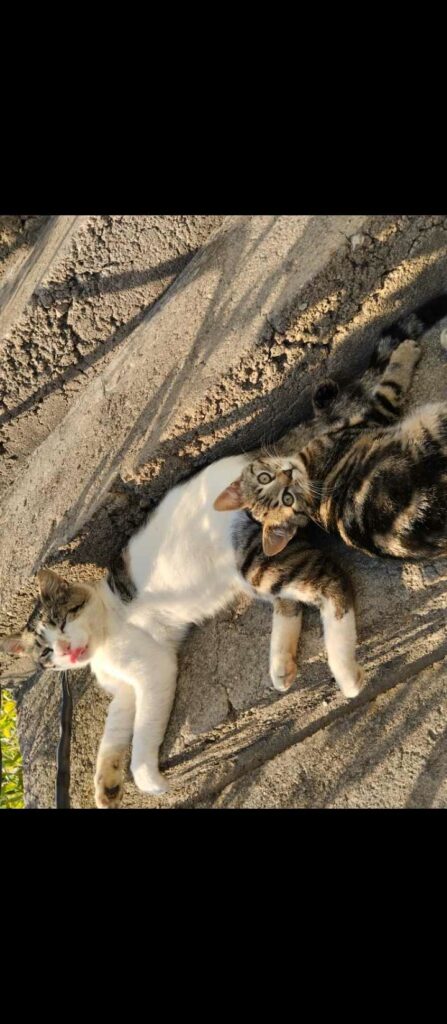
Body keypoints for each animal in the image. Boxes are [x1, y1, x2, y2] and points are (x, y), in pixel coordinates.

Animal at [215, 334, 447, 562]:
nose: (288, 474)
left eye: (264, 478)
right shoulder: (373, 415)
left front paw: (323, 394)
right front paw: (405, 351)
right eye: (288, 499)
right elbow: (390, 384)